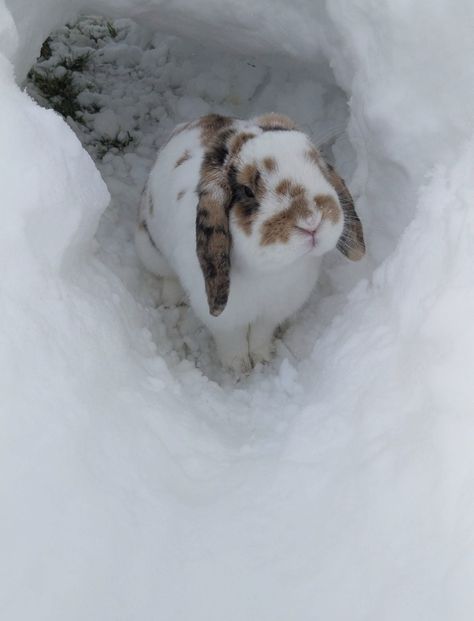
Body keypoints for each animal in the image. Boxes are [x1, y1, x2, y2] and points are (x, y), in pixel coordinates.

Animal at [135, 112, 364, 372]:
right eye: (246, 191)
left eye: (318, 168)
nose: (311, 220)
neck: (274, 272)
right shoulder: (225, 320)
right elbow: (232, 343)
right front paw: (239, 369)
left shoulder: (271, 313)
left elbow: (259, 336)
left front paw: (261, 359)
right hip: (150, 250)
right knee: (167, 277)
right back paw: (171, 301)